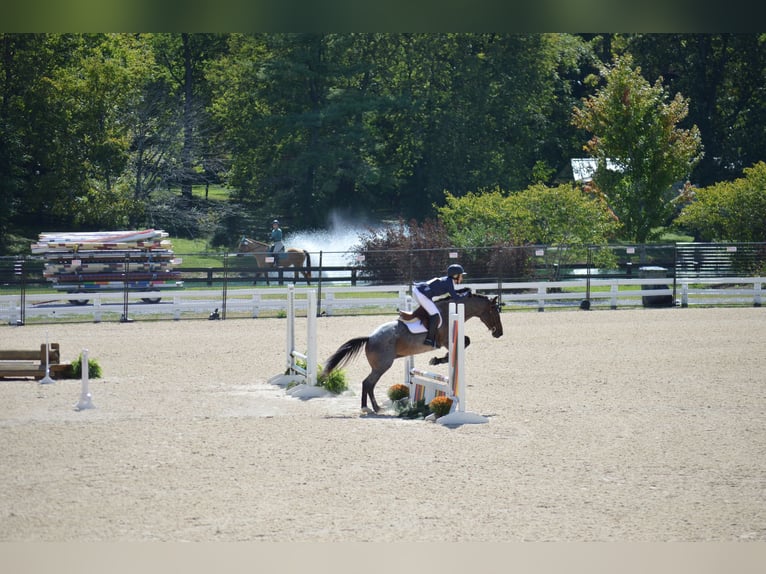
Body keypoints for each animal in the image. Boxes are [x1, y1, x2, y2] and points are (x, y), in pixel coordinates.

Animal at [322, 292, 508, 414]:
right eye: (494, 311)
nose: (499, 333)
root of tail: (369, 338)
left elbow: (465, 342)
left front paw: (438, 360)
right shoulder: (446, 340)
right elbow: (466, 341)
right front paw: (437, 360)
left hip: (380, 366)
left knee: (368, 384)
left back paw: (371, 407)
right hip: (382, 366)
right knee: (368, 383)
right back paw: (372, 408)